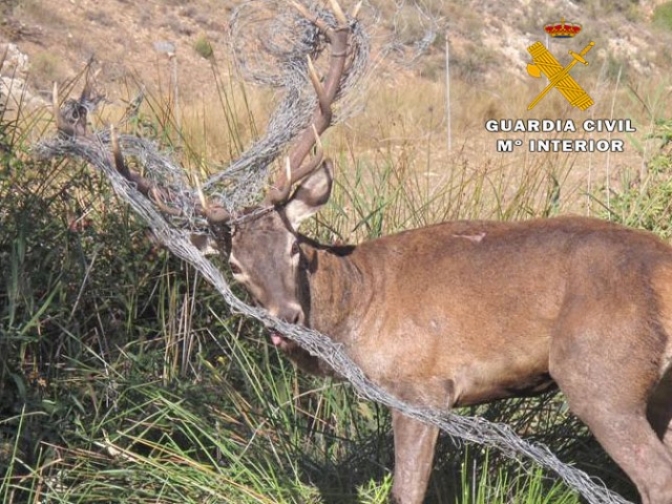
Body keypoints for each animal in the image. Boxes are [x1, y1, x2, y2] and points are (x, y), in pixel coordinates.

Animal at [52, 0, 672, 504]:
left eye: (295, 248)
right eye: (236, 266)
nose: (287, 320)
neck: (356, 308)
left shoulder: (421, 386)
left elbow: (406, 490)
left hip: (600, 372)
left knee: (655, 475)